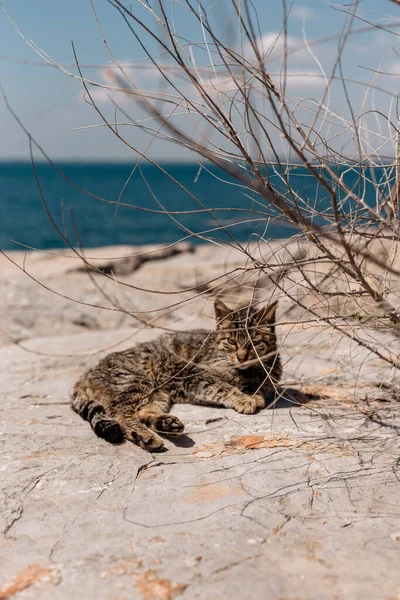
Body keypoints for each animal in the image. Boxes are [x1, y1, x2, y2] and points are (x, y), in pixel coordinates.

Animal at [71, 298, 282, 452]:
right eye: (231, 341)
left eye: (255, 342)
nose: (241, 357)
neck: (249, 371)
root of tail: (88, 371)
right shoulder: (195, 376)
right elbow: (223, 387)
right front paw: (245, 399)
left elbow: (260, 388)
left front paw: (255, 394)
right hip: (135, 382)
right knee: (122, 414)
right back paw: (146, 437)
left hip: (157, 393)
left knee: (143, 412)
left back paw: (166, 424)